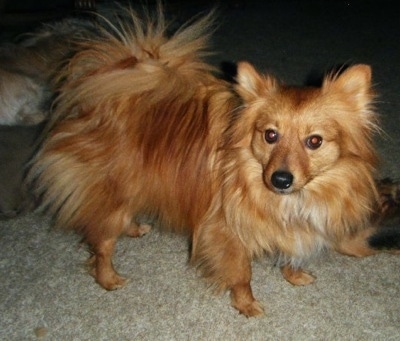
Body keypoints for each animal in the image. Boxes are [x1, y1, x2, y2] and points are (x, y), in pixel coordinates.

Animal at [29, 7, 398, 316]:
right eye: (270, 135)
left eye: (315, 141)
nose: (280, 179)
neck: (291, 200)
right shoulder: (226, 232)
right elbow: (242, 274)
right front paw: (247, 306)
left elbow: (292, 252)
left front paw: (294, 275)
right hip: (113, 193)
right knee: (102, 242)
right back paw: (109, 278)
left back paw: (133, 228)